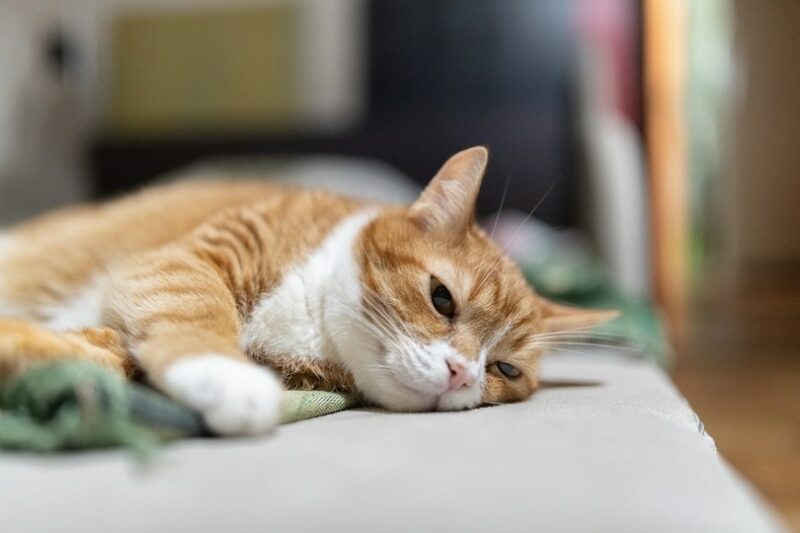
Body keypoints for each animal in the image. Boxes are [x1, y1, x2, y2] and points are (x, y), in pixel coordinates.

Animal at [0, 148, 616, 434]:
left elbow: (89, 355)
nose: (462, 374)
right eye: (442, 298)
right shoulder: (195, 259)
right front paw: (227, 378)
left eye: (504, 370)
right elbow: (197, 310)